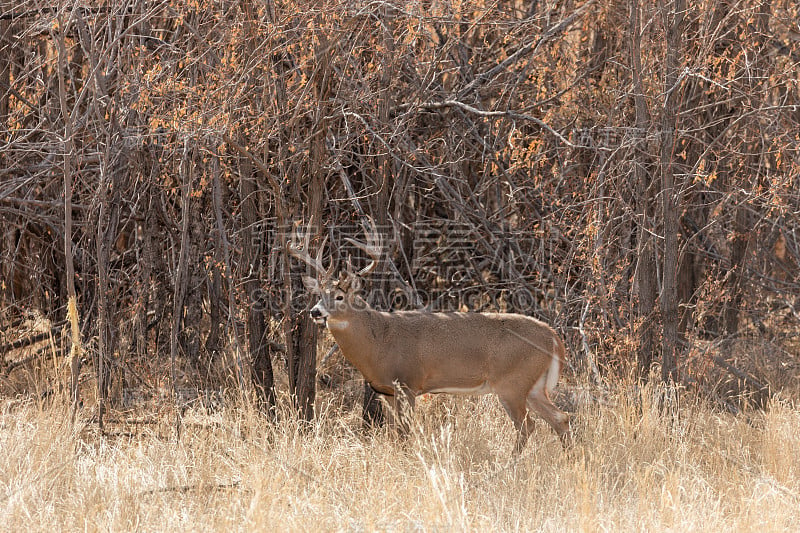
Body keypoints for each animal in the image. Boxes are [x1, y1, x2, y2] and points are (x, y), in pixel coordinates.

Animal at [290, 218, 572, 450]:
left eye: (339, 296)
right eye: (319, 294)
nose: (315, 312)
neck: (379, 341)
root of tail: (554, 339)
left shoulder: (408, 383)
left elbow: (404, 433)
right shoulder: (386, 392)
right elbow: (395, 432)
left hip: (512, 382)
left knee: (528, 425)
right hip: (533, 385)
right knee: (561, 418)